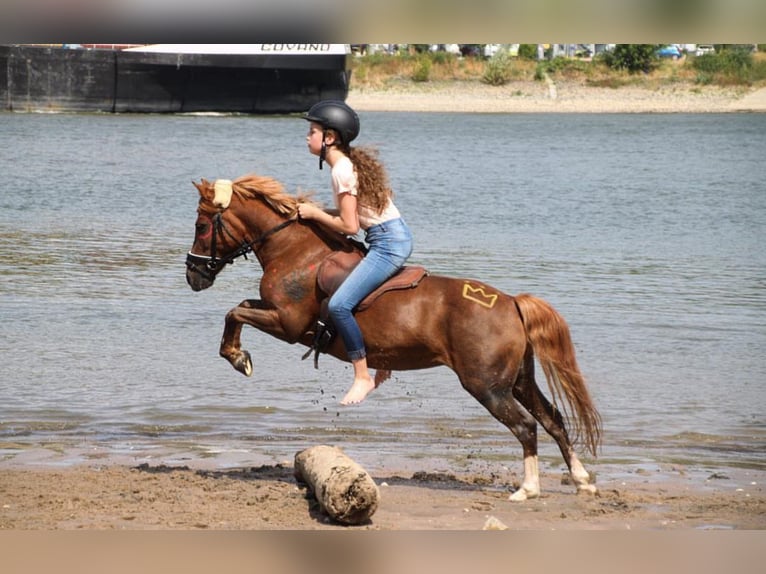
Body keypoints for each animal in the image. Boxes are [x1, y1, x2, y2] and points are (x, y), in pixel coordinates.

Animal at [188, 173, 608, 502]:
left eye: (202, 226)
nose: (193, 275)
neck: (296, 252)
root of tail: (511, 303)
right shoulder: (277, 315)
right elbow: (240, 306)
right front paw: (239, 355)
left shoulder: (287, 325)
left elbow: (234, 311)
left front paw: (238, 357)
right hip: (517, 380)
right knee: (553, 419)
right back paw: (582, 481)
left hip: (486, 385)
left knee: (526, 426)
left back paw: (528, 488)